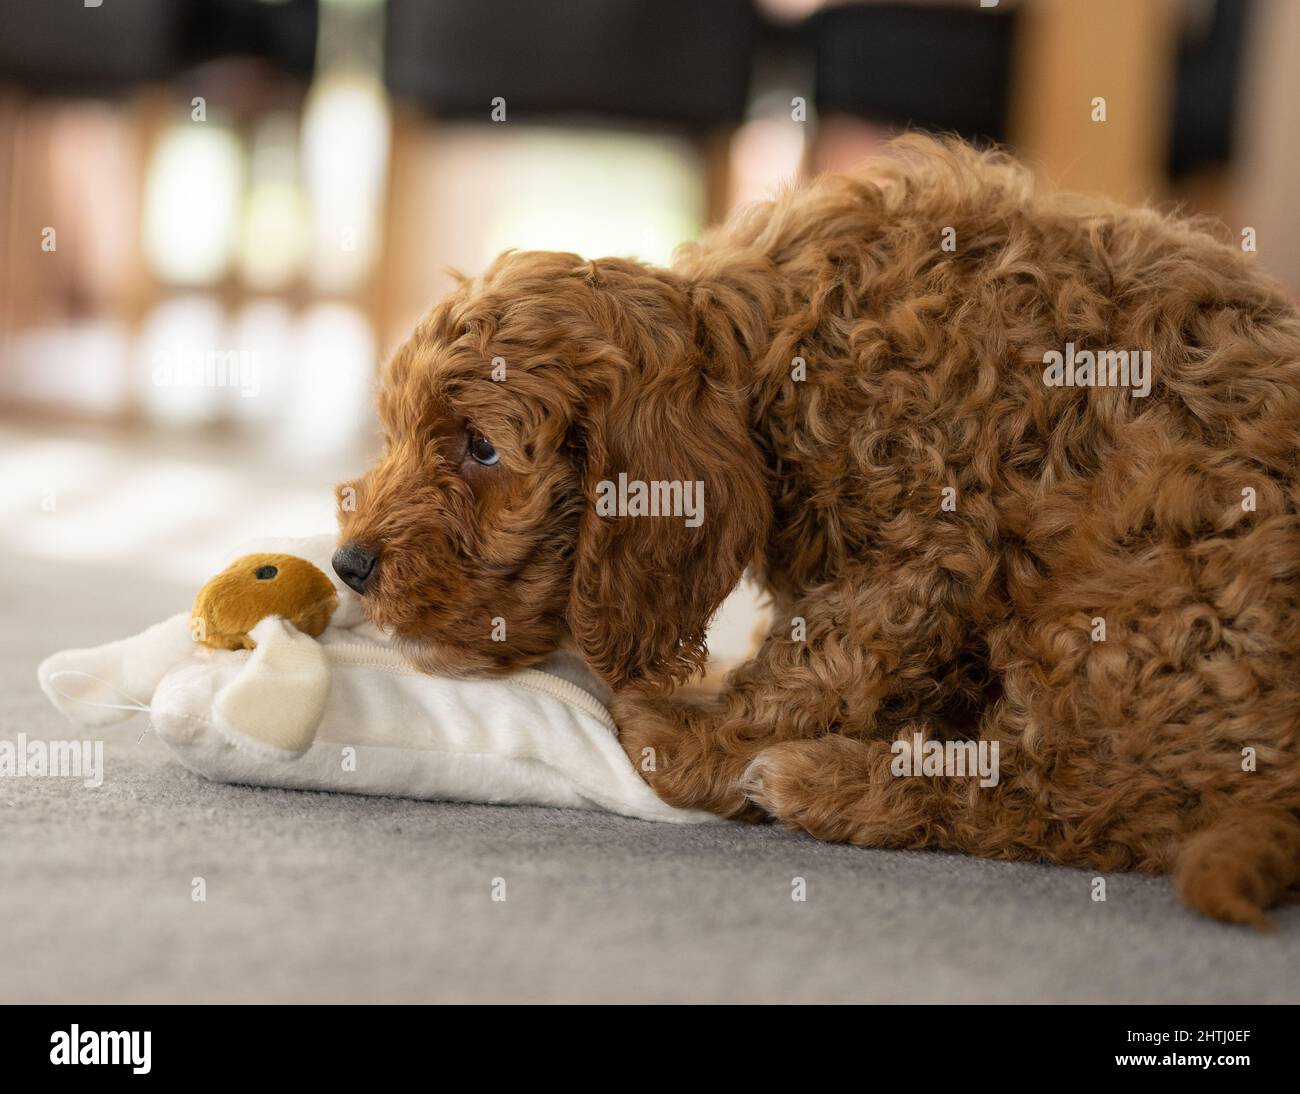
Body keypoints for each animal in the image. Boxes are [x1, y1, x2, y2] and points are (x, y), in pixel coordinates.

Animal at [335, 134, 1300, 919]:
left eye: (482, 449)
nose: (348, 564)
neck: (772, 355)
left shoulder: (935, 538)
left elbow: (824, 658)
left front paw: (693, 739)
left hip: (1132, 589)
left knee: (1072, 795)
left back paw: (826, 782)